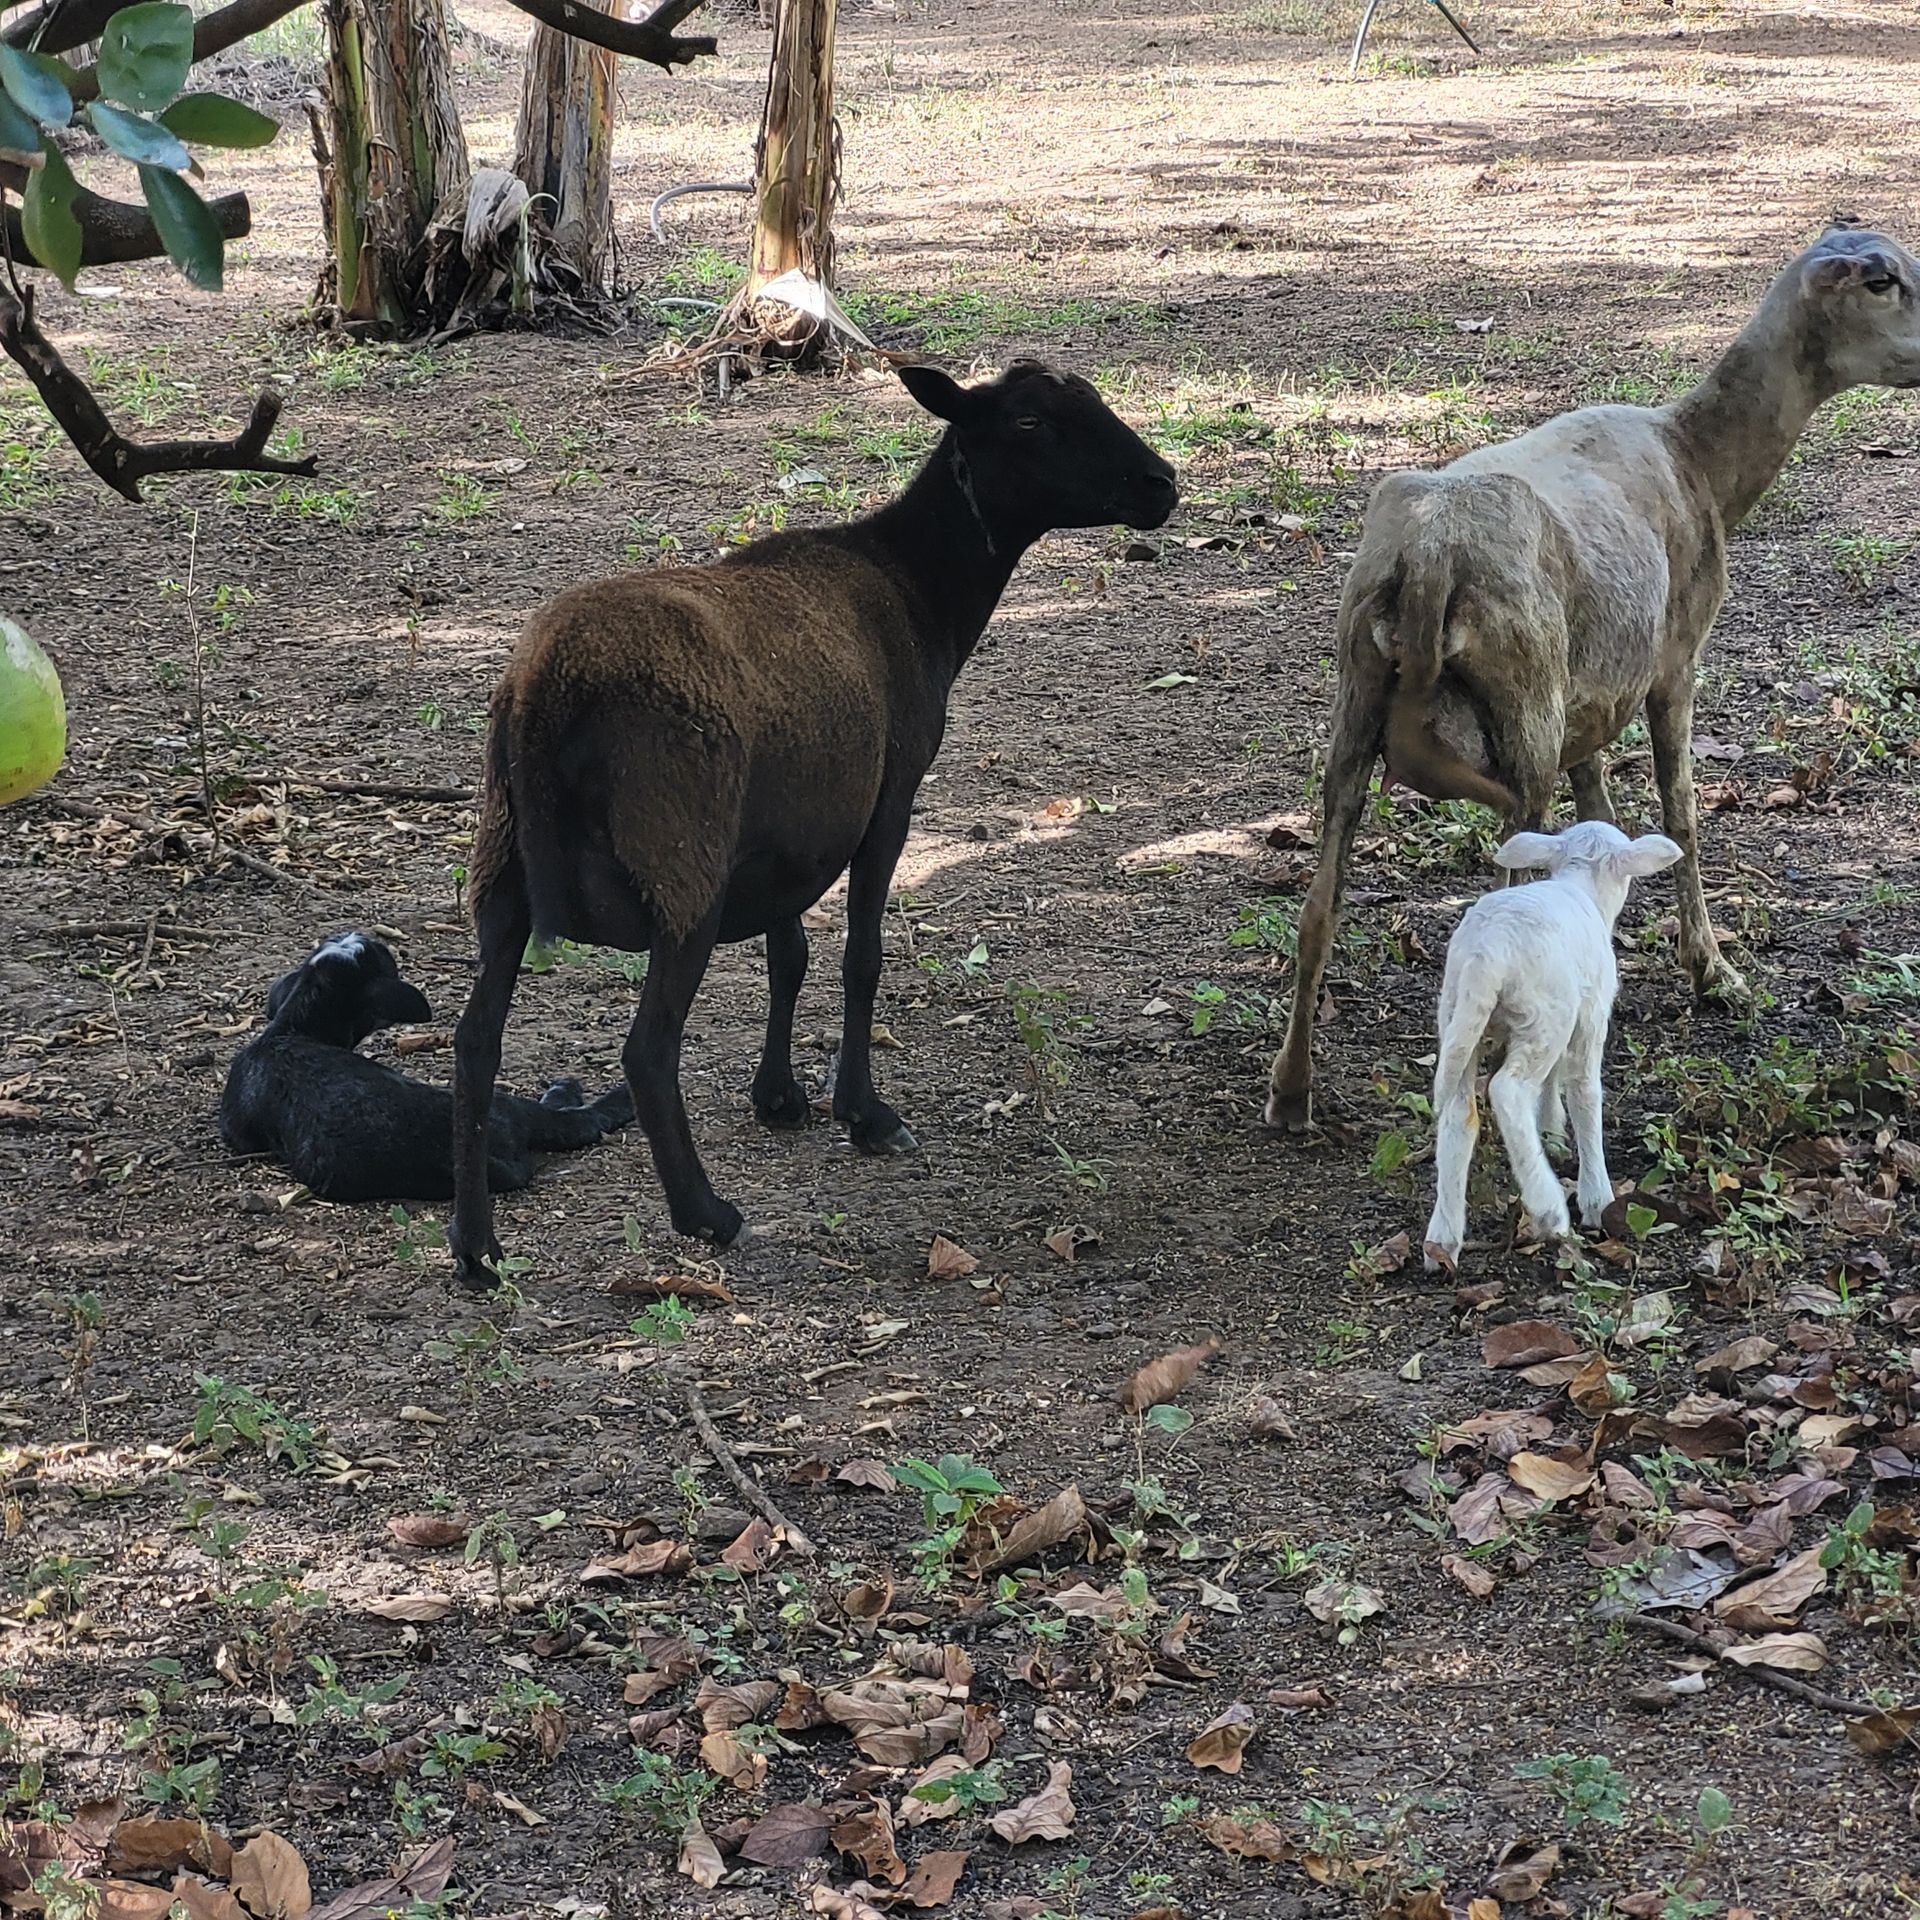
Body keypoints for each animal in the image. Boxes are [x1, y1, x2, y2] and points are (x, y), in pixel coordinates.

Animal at [449, 360, 1179, 1284]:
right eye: (1028, 424)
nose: (1161, 486)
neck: (916, 585)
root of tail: (547, 690)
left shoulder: (788, 829)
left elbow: (788, 956)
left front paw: (780, 1097)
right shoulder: (887, 797)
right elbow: (860, 958)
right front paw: (865, 1114)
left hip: (502, 865)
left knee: (475, 1043)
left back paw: (476, 1248)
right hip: (680, 861)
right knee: (647, 1049)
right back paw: (706, 1215)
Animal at [1267, 225, 1920, 1131]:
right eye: (1883, 282)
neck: (1702, 460)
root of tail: (1429, 559)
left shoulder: (1592, 700)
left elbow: (1601, 816)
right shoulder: (1674, 660)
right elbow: (1681, 815)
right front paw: (1713, 972)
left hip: (1357, 705)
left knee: (1317, 908)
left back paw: (1291, 1091)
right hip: (1523, 708)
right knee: (1504, 895)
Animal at [1422, 822, 1681, 1271]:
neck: (1580, 885)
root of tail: (1486, 956)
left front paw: (1551, 1130)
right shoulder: (1591, 1014)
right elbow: (1584, 1092)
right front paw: (1596, 1198)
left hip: (1458, 1014)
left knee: (1459, 1111)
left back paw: (1443, 1240)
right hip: (1543, 1013)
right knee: (1507, 1091)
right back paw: (1549, 1210)